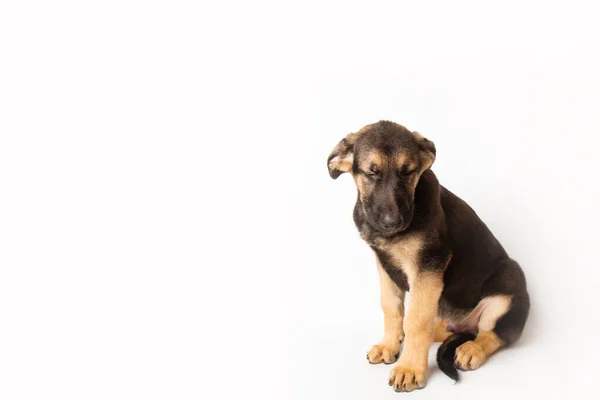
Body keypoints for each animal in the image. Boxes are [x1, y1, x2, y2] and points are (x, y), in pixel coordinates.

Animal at [328, 120, 528, 392]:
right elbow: (391, 306)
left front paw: (410, 368)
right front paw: (390, 345)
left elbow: (416, 320)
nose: (393, 223)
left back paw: (472, 349)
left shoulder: (428, 266)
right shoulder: (384, 264)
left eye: (408, 172)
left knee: (494, 333)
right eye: (372, 173)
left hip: (510, 282)